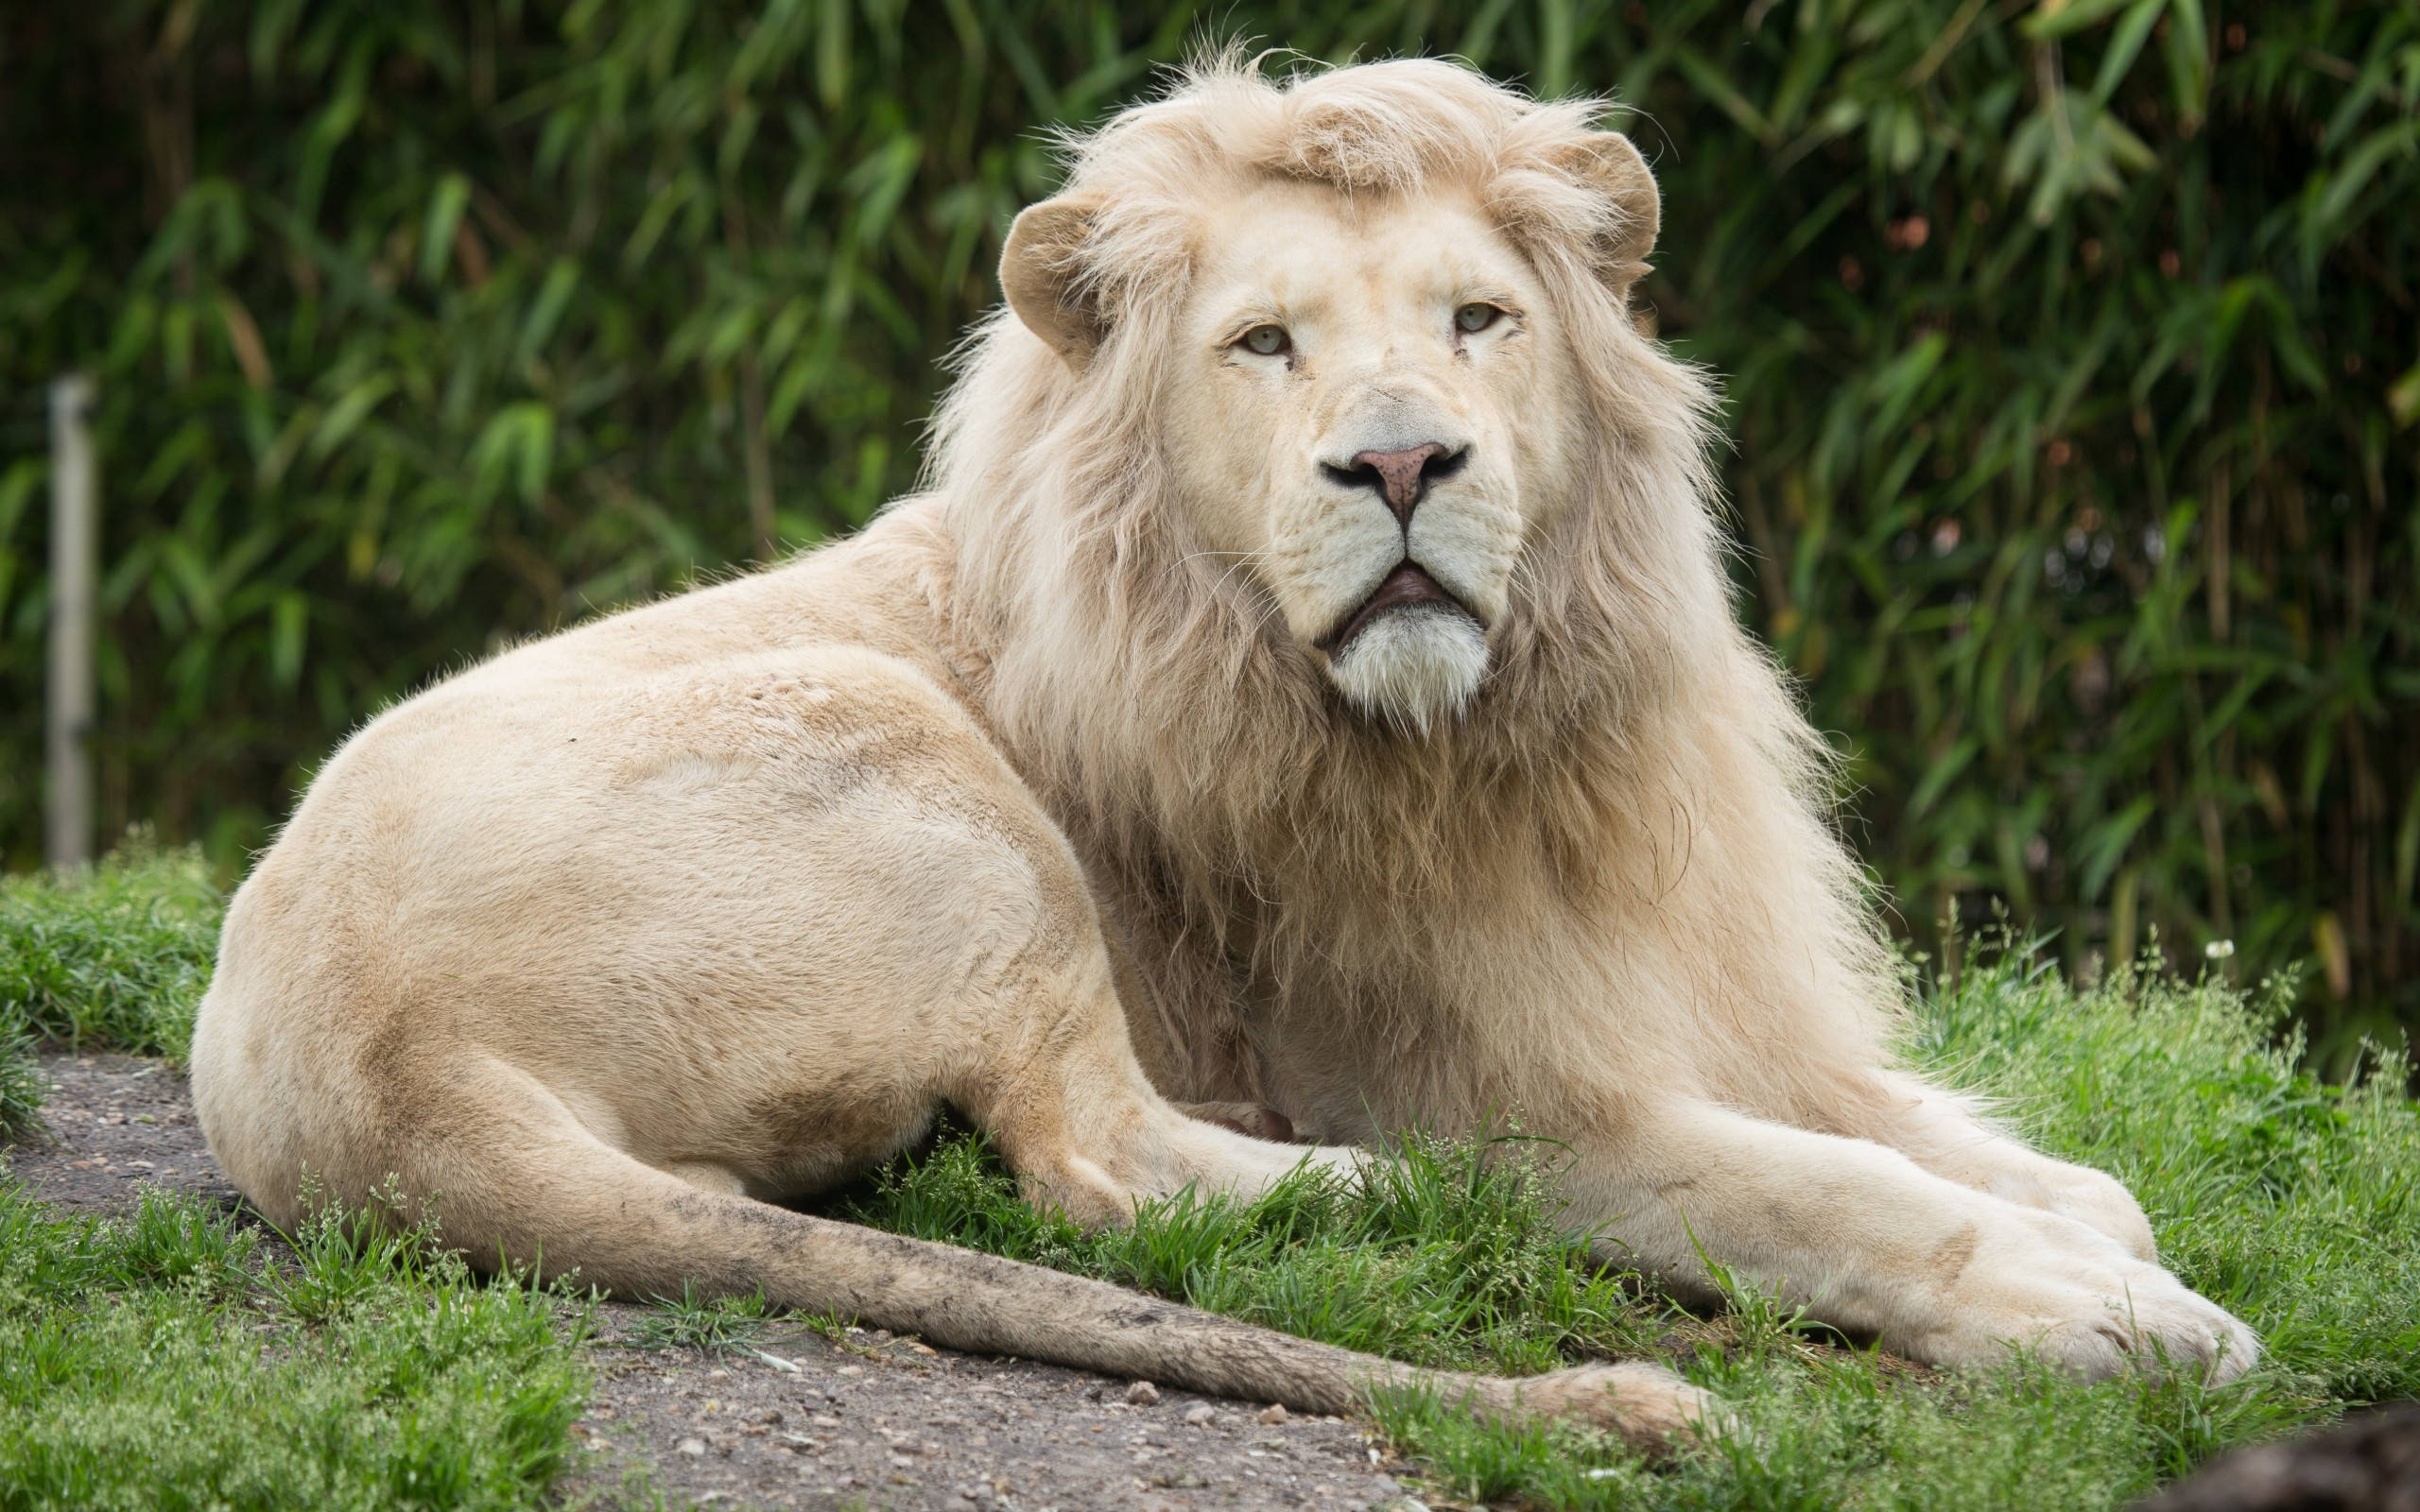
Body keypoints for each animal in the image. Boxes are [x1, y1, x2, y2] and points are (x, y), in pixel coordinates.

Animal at [191, 56, 2254, 1451]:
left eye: (1479, 320)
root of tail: (368, 1081)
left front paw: (2093, 1224)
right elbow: (1828, 1190)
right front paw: (2104, 1312)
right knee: (1101, 1164)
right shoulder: (1501, 1082)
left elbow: (1974, 1145)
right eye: (1264, 345)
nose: (1402, 461)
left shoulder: (1709, 996)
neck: (1504, 736)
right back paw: (1376, 1192)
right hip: (912, 755)